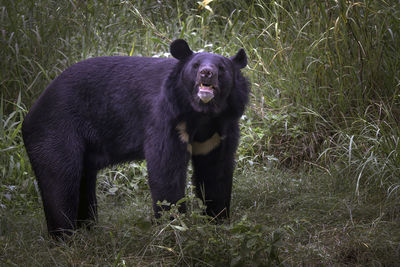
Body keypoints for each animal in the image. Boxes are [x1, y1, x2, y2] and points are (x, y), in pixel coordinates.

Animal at [22, 39, 250, 239]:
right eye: (195, 66)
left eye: (221, 67)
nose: (206, 73)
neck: (202, 113)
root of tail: (30, 113)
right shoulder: (166, 119)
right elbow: (166, 172)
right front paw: (174, 227)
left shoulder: (220, 131)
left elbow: (215, 173)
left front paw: (218, 222)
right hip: (56, 132)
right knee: (61, 182)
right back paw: (65, 238)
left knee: (82, 183)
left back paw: (87, 231)